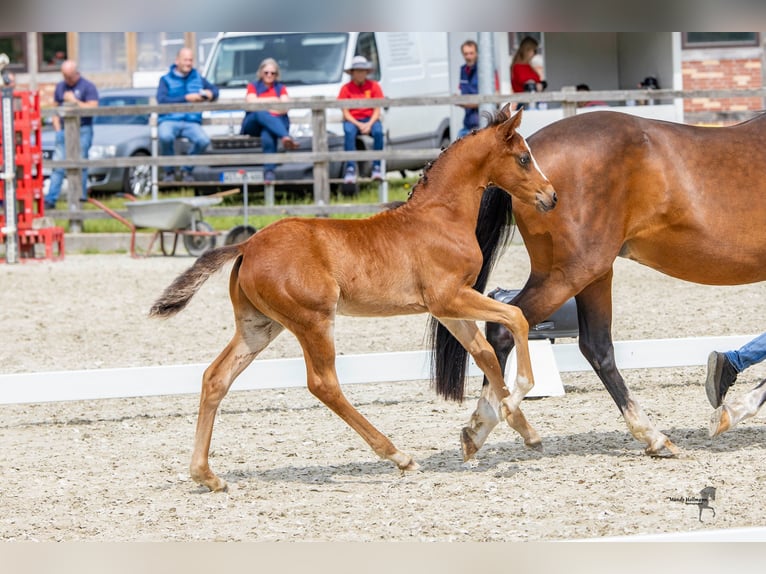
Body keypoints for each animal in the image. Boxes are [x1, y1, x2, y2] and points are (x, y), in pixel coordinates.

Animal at [150, 109, 560, 496]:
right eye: (524, 157)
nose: (551, 196)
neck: (440, 218)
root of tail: (247, 245)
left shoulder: (447, 308)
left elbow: (485, 354)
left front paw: (507, 430)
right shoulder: (450, 297)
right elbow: (516, 318)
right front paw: (515, 399)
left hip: (259, 327)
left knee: (215, 377)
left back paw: (207, 476)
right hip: (313, 320)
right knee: (324, 384)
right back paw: (399, 456)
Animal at [432, 107, 766, 460]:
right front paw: (735, 411)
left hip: (594, 275)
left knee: (596, 347)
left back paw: (651, 437)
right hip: (571, 273)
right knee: (506, 326)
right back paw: (491, 422)